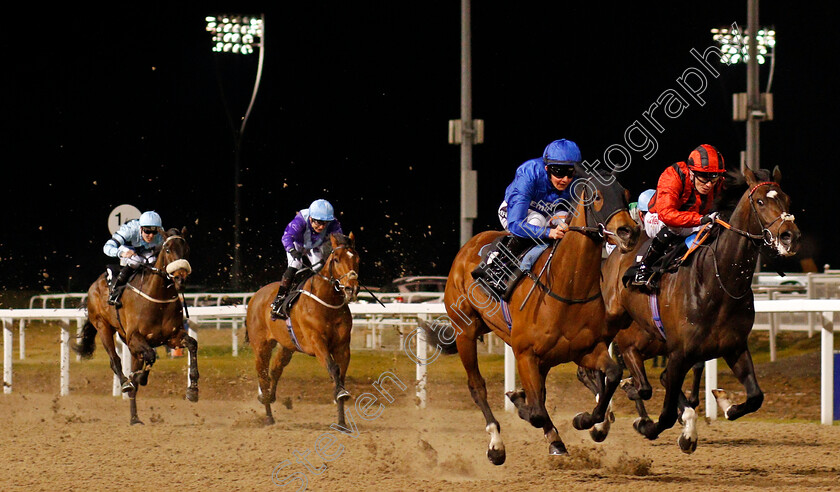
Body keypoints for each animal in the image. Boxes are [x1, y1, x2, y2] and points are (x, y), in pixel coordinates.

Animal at [72, 227, 195, 422]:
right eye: (168, 250)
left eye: (187, 250)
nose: (180, 279)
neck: (158, 299)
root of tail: (95, 284)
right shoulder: (134, 337)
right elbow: (150, 355)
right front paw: (140, 378)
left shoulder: (172, 337)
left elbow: (192, 344)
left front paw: (193, 390)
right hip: (103, 327)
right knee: (115, 360)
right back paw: (126, 384)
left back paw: (135, 417)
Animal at [244, 234, 360, 426]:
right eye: (336, 259)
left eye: (357, 259)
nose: (352, 288)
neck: (327, 304)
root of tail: (255, 296)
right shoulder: (317, 343)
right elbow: (333, 368)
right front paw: (340, 394)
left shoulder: (342, 346)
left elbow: (340, 375)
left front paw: (342, 421)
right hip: (261, 346)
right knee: (263, 375)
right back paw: (268, 415)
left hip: (287, 345)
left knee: (275, 369)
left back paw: (269, 398)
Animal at [430, 170, 640, 466]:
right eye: (597, 197)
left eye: (625, 194)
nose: (628, 232)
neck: (566, 288)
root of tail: (469, 245)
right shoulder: (525, 353)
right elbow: (537, 411)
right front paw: (522, 407)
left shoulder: (585, 349)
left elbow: (612, 374)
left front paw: (585, 420)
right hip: (465, 331)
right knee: (477, 386)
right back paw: (496, 444)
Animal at [596, 167, 800, 452]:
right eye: (760, 201)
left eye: (787, 200)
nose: (790, 237)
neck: (719, 282)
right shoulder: (678, 353)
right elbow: (666, 414)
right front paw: (651, 426)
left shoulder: (734, 346)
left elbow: (755, 397)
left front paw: (725, 405)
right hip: (623, 335)